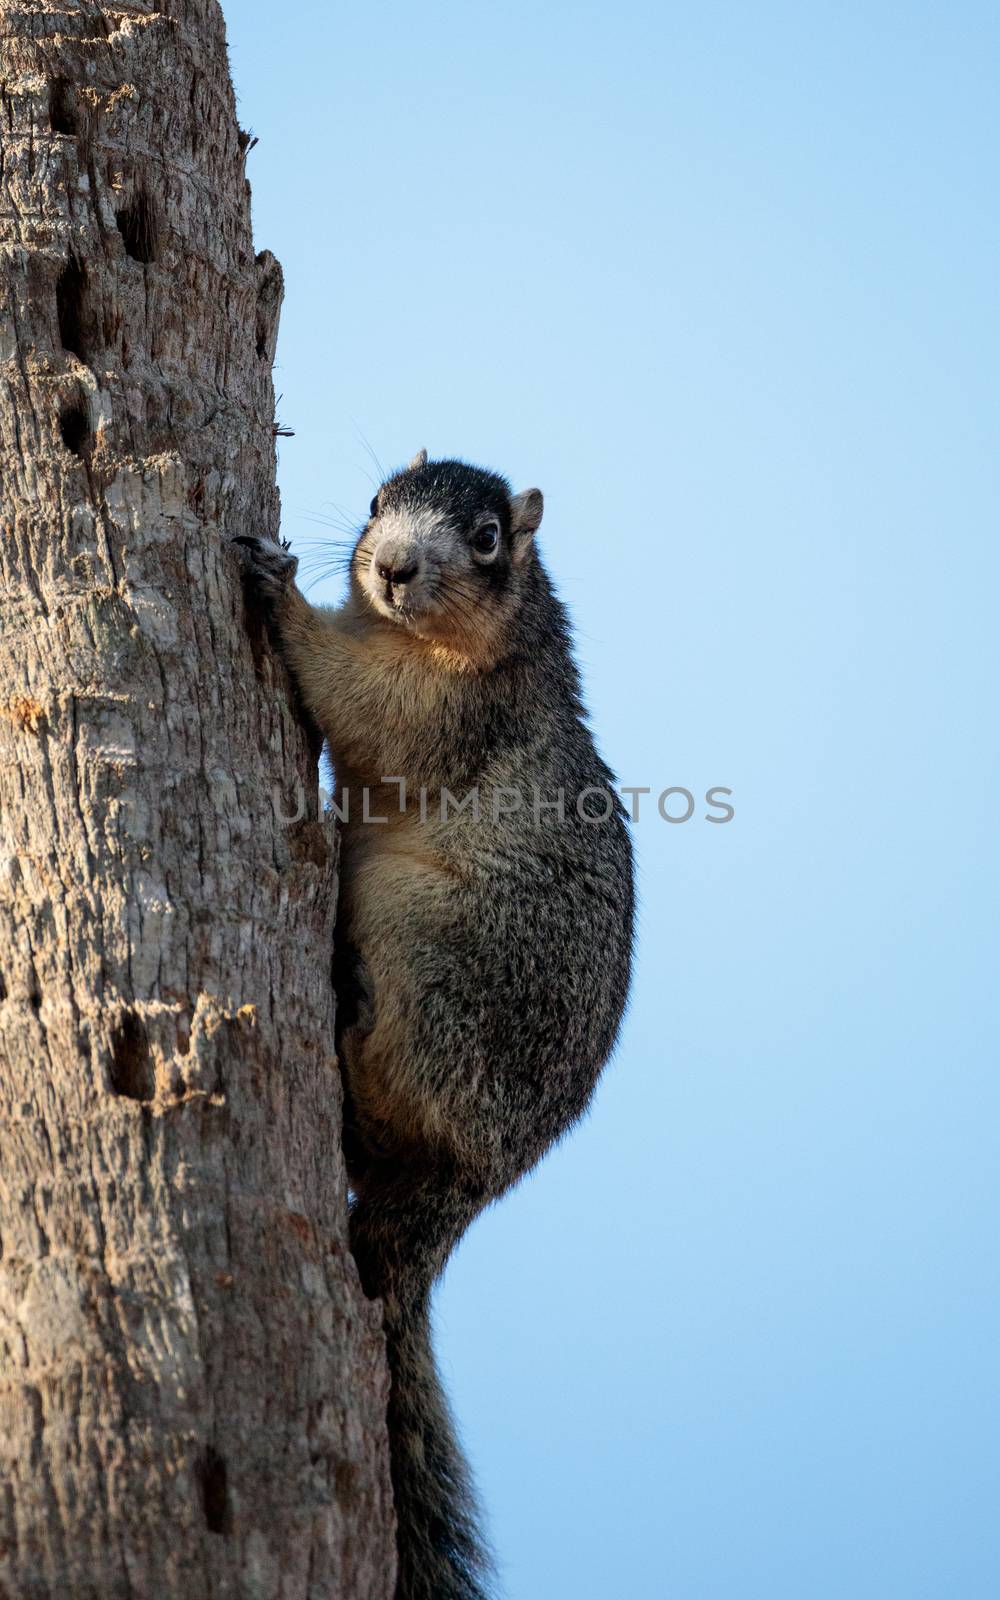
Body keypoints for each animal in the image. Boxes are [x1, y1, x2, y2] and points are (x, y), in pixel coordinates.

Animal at [235, 451, 630, 1600]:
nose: (395, 566)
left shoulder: (456, 710)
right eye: (377, 503)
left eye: (490, 538)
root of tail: (469, 1181)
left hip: (434, 954)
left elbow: (366, 709)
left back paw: (348, 1007)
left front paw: (281, 597)